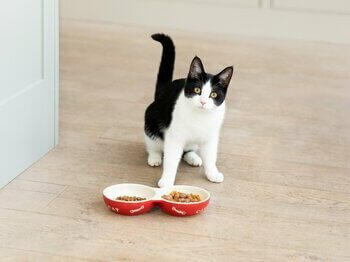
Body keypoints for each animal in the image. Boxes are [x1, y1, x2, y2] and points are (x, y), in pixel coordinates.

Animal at [144, 33, 234, 188]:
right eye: (197, 90)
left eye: (213, 95)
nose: (203, 102)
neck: (200, 116)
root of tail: (164, 90)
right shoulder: (174, 136)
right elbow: (171, 159)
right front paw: (167, 181)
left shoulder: (211, 136)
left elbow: (211, 156)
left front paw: (213, 173)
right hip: (151, 119)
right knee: (153, 142)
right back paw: (154, 158)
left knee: (187, 150)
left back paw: (193, 158)